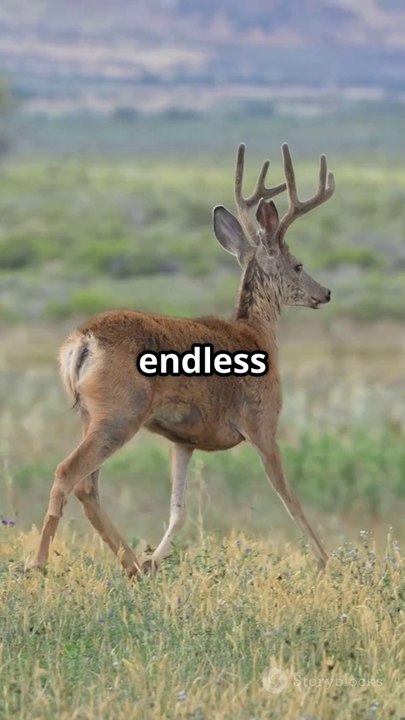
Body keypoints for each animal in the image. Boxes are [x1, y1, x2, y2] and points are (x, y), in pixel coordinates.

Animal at [27, 142, 335, 579]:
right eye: (299, 265)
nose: (325, 292)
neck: (257, 335)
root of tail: (83, 341)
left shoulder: (183, 439)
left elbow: (178, 508)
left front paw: (156, 558)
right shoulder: (262, 420)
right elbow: (289, 496)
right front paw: (326, 561)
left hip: (92, 413)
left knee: (88, 485)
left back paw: (134, 565)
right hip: (121, 412)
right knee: (69, 472)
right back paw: (38, 563)